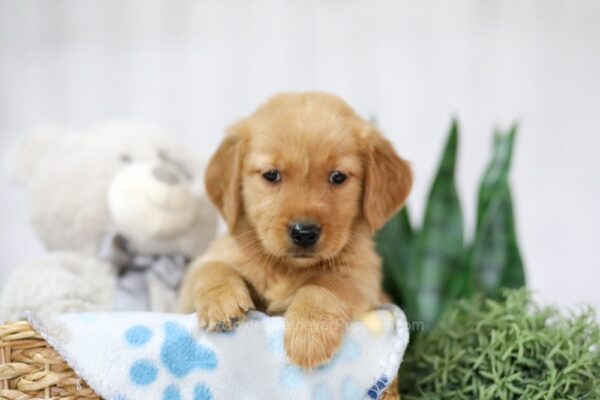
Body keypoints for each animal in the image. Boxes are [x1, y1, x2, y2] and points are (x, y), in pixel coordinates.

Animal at [179, 92, 412, 370]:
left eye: (338, 177)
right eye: (271, 174)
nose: (304, 232)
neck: (285, 267)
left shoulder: (363, 278)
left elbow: (324, 283)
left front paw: (309, 335)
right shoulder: (192, 285)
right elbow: (211, 269)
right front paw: (221, 303)